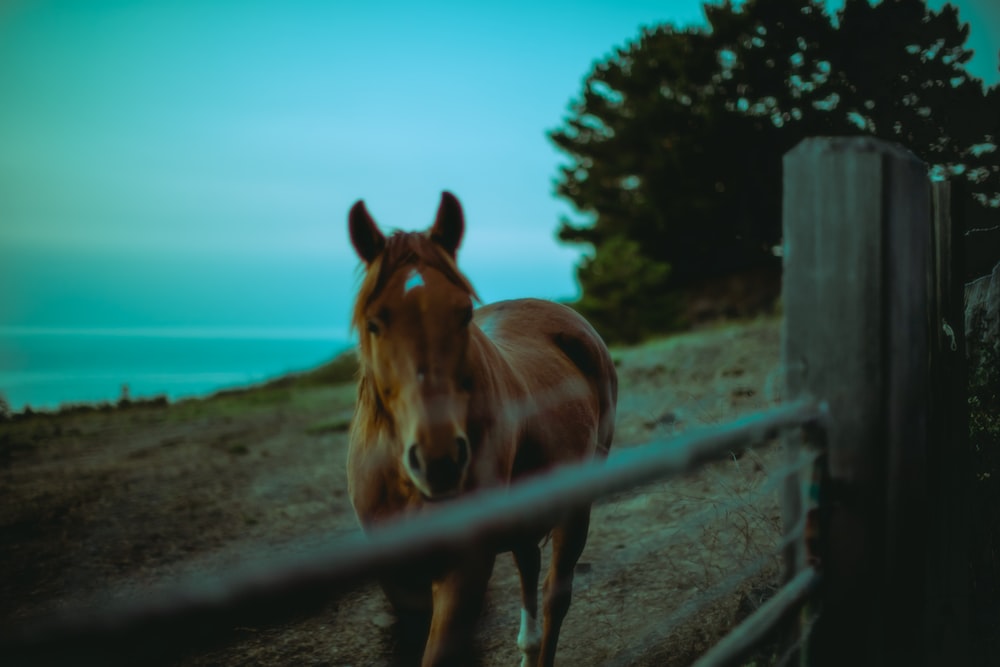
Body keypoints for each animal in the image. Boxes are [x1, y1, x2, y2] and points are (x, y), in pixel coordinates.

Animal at [350, 190, 616, 667]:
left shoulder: (464, 572)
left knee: (555, 597)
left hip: (575, 508)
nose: (439, 460)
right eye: (374, 323)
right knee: (530, 569)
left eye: (463, 314)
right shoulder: (399, 580)